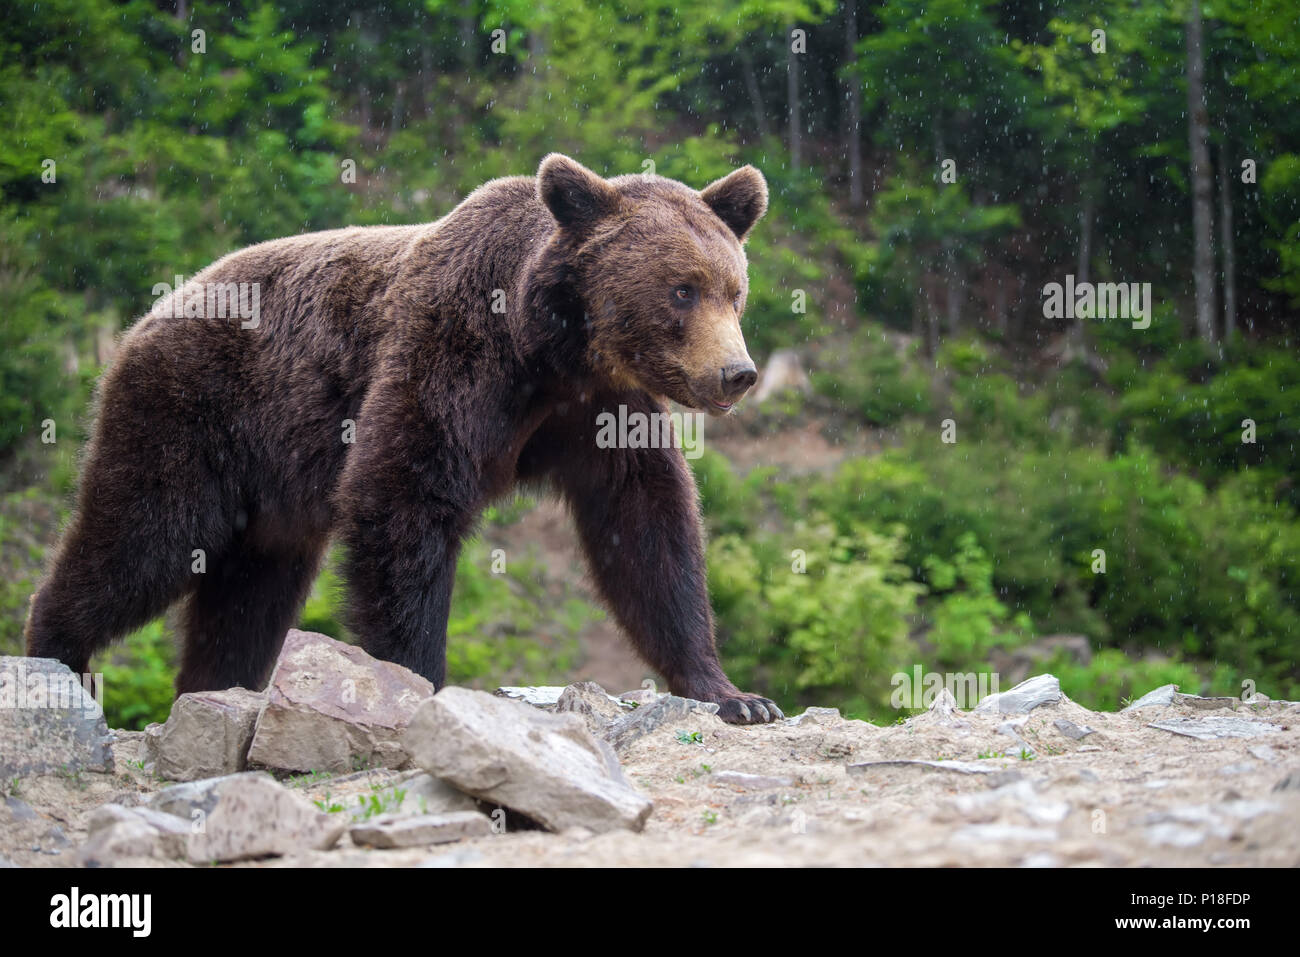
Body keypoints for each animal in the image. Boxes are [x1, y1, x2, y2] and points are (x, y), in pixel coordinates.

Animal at [27, 155, 780, 722]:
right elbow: (403, 497)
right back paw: (55, 657)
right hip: (192, 412)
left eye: (734, 290)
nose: (736, 372)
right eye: (681, 290)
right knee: (143, 537)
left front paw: (735, 694)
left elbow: (648, 528)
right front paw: (417, 680)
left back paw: (216, 687)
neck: (551, 351)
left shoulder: (601, 413)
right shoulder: (453, 356)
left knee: (248, 595)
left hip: (272, 498)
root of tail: (152, 312)